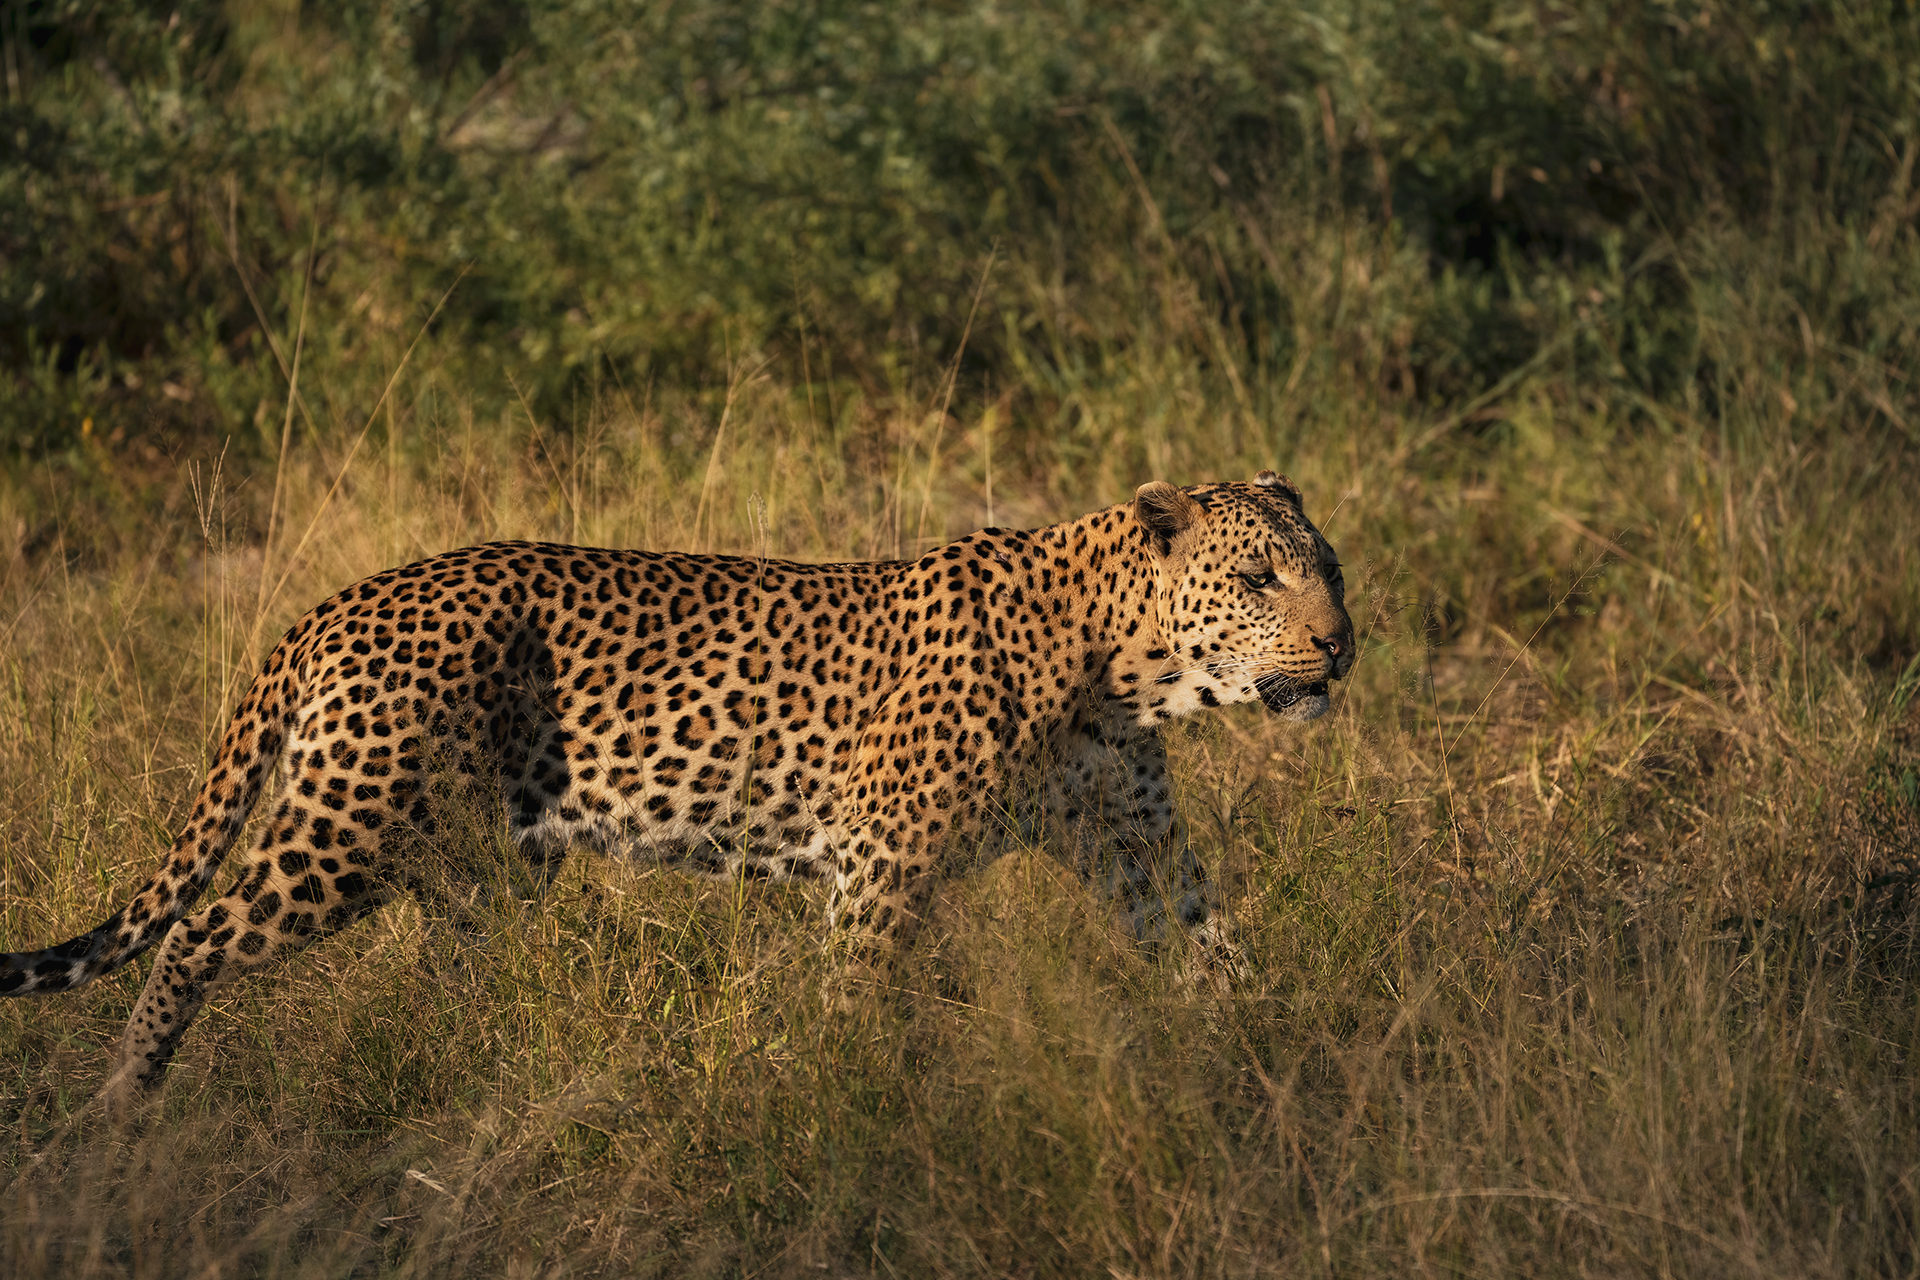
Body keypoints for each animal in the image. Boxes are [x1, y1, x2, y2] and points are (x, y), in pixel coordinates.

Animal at [1, 471, 1353, 1102]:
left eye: (1329, 568)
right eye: (1260, 579)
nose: (1343, 643)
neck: (1128, 670)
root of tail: (340, 601)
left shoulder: (1138, 848)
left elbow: (1214, 946)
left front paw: (1282, 1063)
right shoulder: (884, 860)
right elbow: (860, 994)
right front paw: (850, 1113)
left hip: (484, 871)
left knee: (440, 973)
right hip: (346, 825)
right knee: (195, 935)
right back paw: (125, 1101)